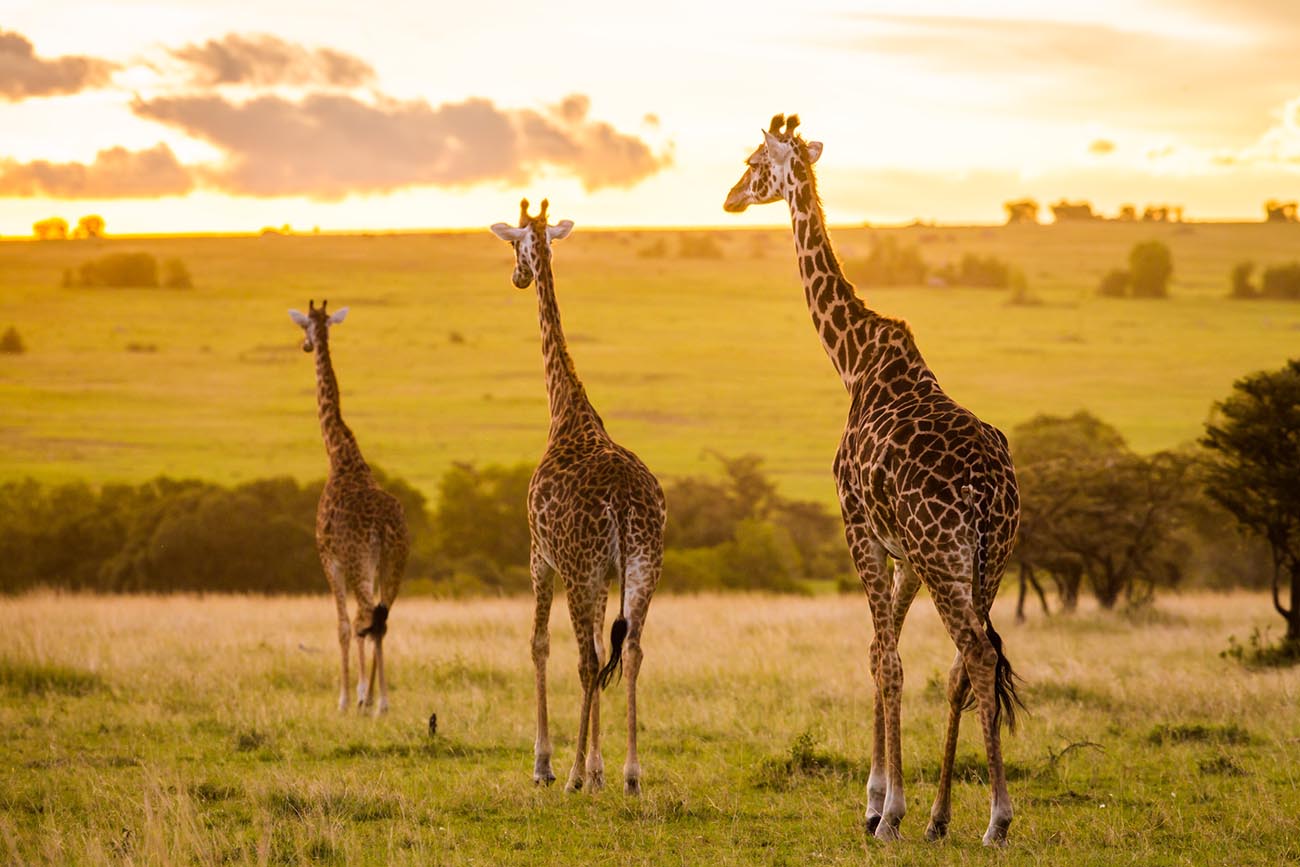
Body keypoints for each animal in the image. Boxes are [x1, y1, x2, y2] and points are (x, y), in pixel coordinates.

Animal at [289, 299, 409, 716]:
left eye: (305, 326)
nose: (306, 345)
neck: (340, 454)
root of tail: (384, 527)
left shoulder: (330, 558)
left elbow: (342, 625)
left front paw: (344, 698)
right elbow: (365, 626)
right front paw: (363, 694)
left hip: (359, 563)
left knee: (364, 616)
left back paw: (369, 700)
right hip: (394, 563)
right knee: (381, 618)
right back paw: (380, 700)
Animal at [490, 199, 666, 796]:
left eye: (514, 243)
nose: (518, 277)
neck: (566, 411)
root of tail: (625, 504)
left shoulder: (542, 556)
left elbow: (540, 644)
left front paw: (548, 764)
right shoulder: (604, 572)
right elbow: (604, 646)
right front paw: (599, 768)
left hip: (581, 567)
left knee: (590, 659)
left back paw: (567, 777)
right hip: (643, 563)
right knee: (631, 650)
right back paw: (633, 775)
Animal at [724, 116, 1023, 846]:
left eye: (754, 162)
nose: (730, 198)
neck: (854, 361)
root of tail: (990, 491)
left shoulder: (858, 527)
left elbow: (887, 661)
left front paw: (887, 811)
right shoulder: (904, 552)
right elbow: (880, 654)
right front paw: (887, 801)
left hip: (949, 558)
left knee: (976, 654)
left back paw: (997, 819)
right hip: (989, 558)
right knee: (965, 663)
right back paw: (946, 818)